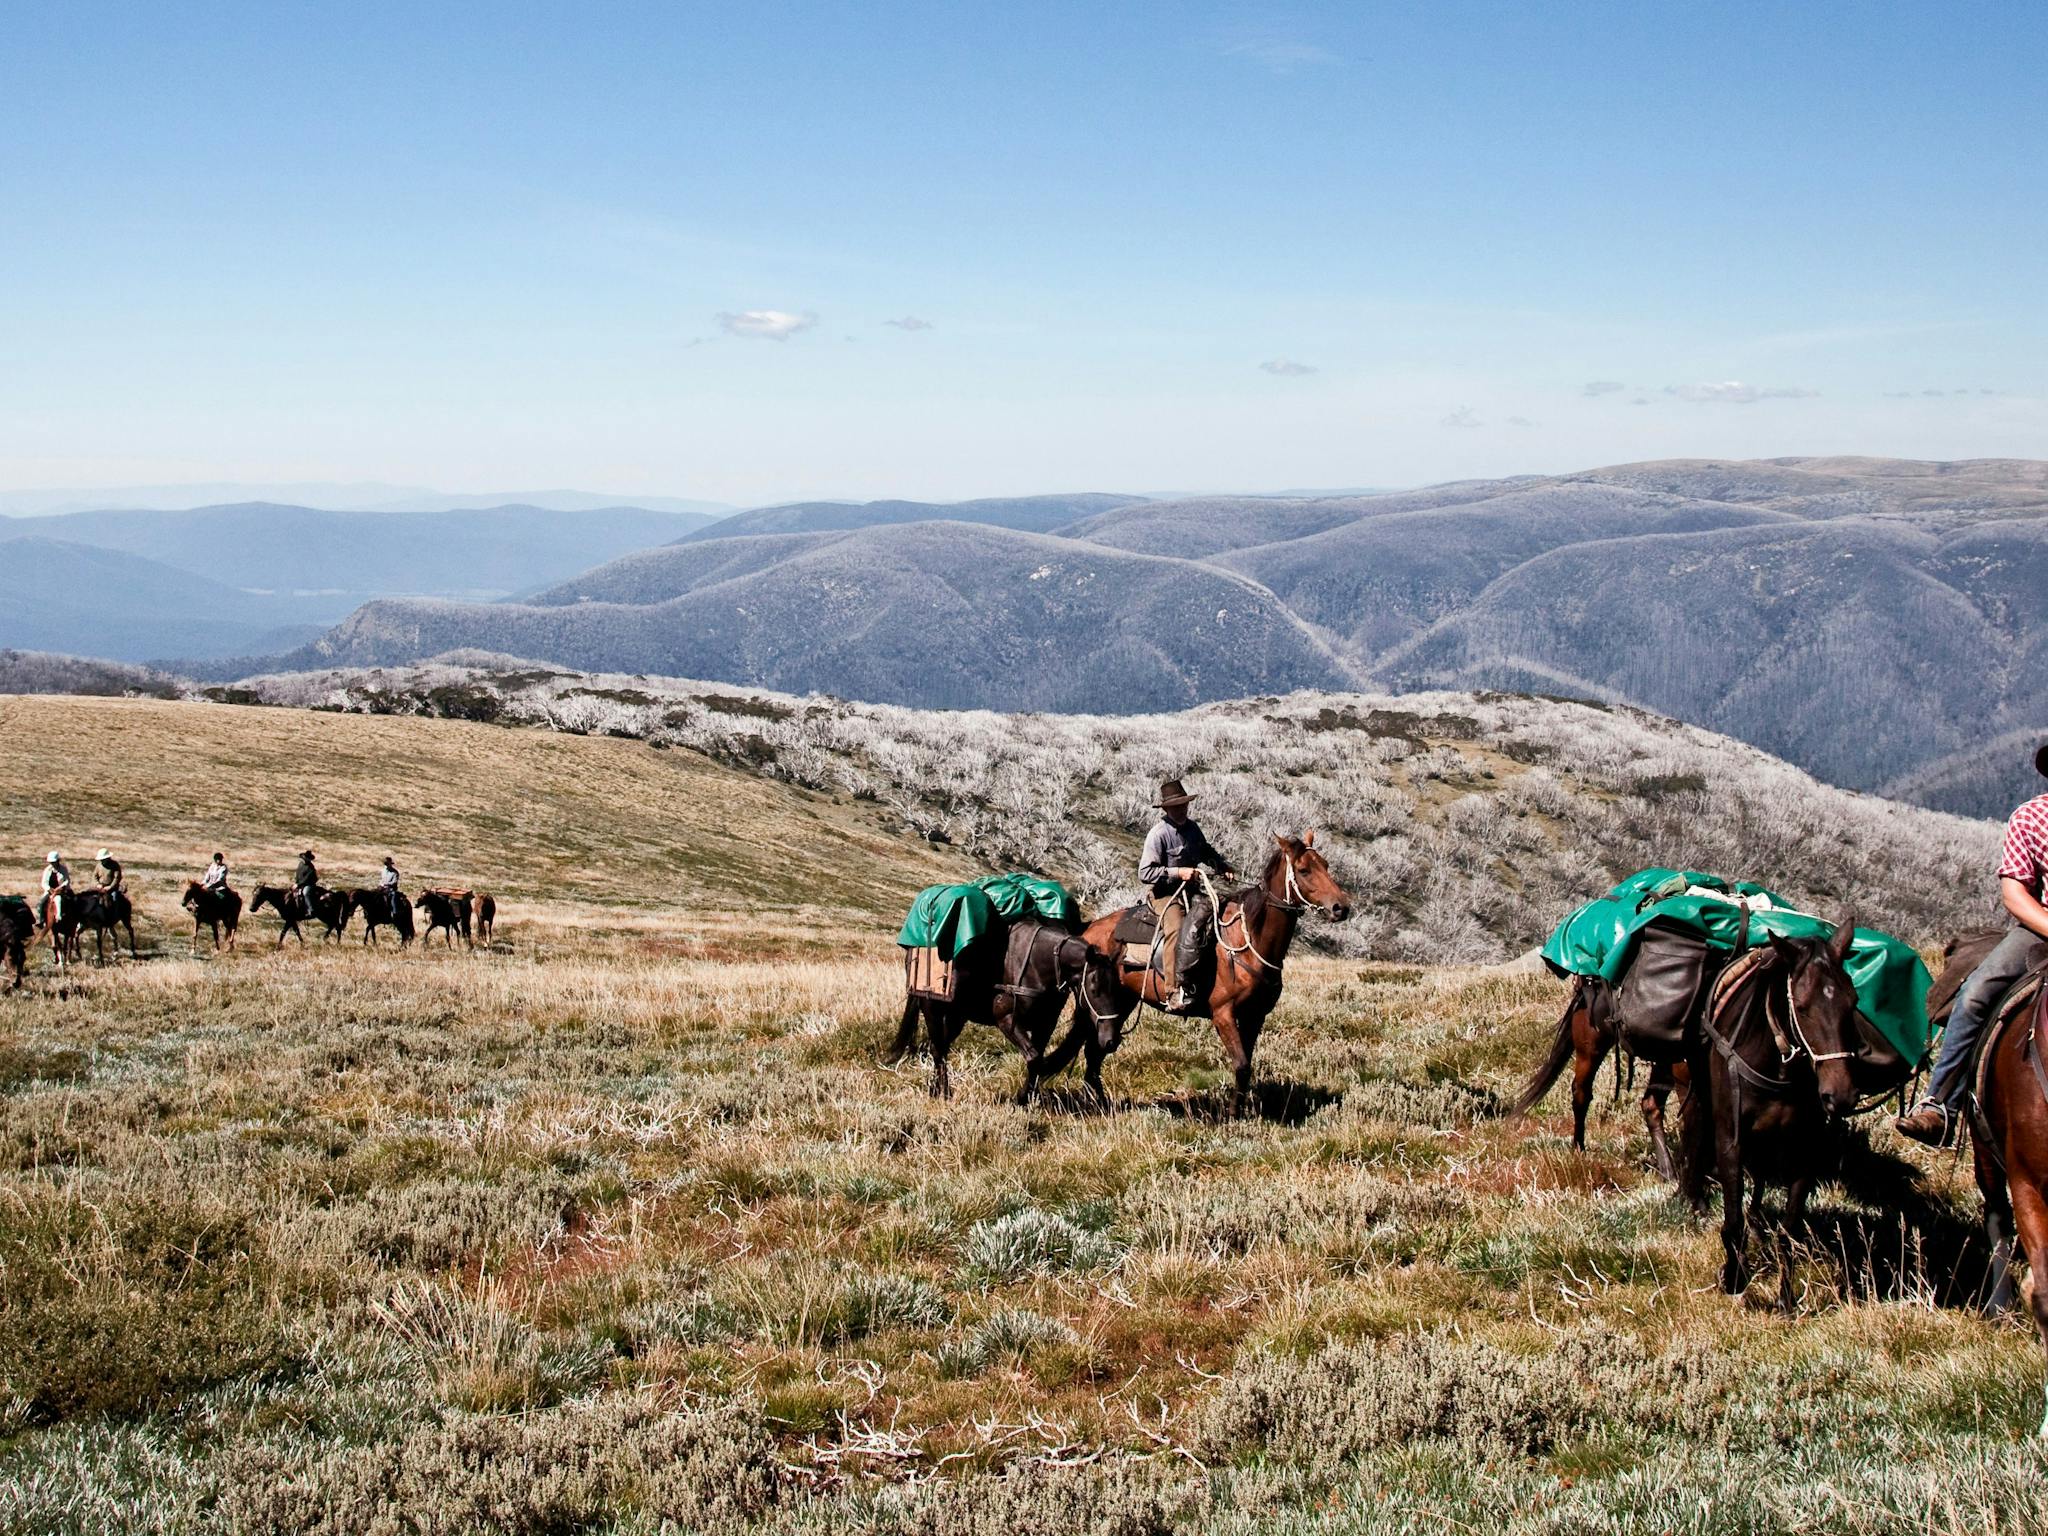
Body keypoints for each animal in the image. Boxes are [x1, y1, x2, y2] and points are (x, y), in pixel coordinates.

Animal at [1081, 831, 1351, 1122]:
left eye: (1325, 865)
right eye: (1303, 870)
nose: (1341, 907)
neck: (1248, 940)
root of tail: (1089, 928)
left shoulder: (1255, 1016)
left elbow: (1246, 1064)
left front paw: (1238, 1111)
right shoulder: (1223, 1014)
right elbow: (1242, 1065)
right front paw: (1231, 1116)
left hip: (1122, 1003)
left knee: (1097, 1050)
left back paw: (1099, 1102)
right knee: (1092, 1049)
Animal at [1671, 913, 1867, 1310]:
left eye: (1852, 1002)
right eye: (1802, 1006)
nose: (1840, 1096)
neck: (1778, 1065)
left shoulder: (1805, 1151)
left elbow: (1789, 1232)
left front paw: (1787, 1301)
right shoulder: (1730, 1141)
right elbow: (1732, 1223)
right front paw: (1734, 1278)